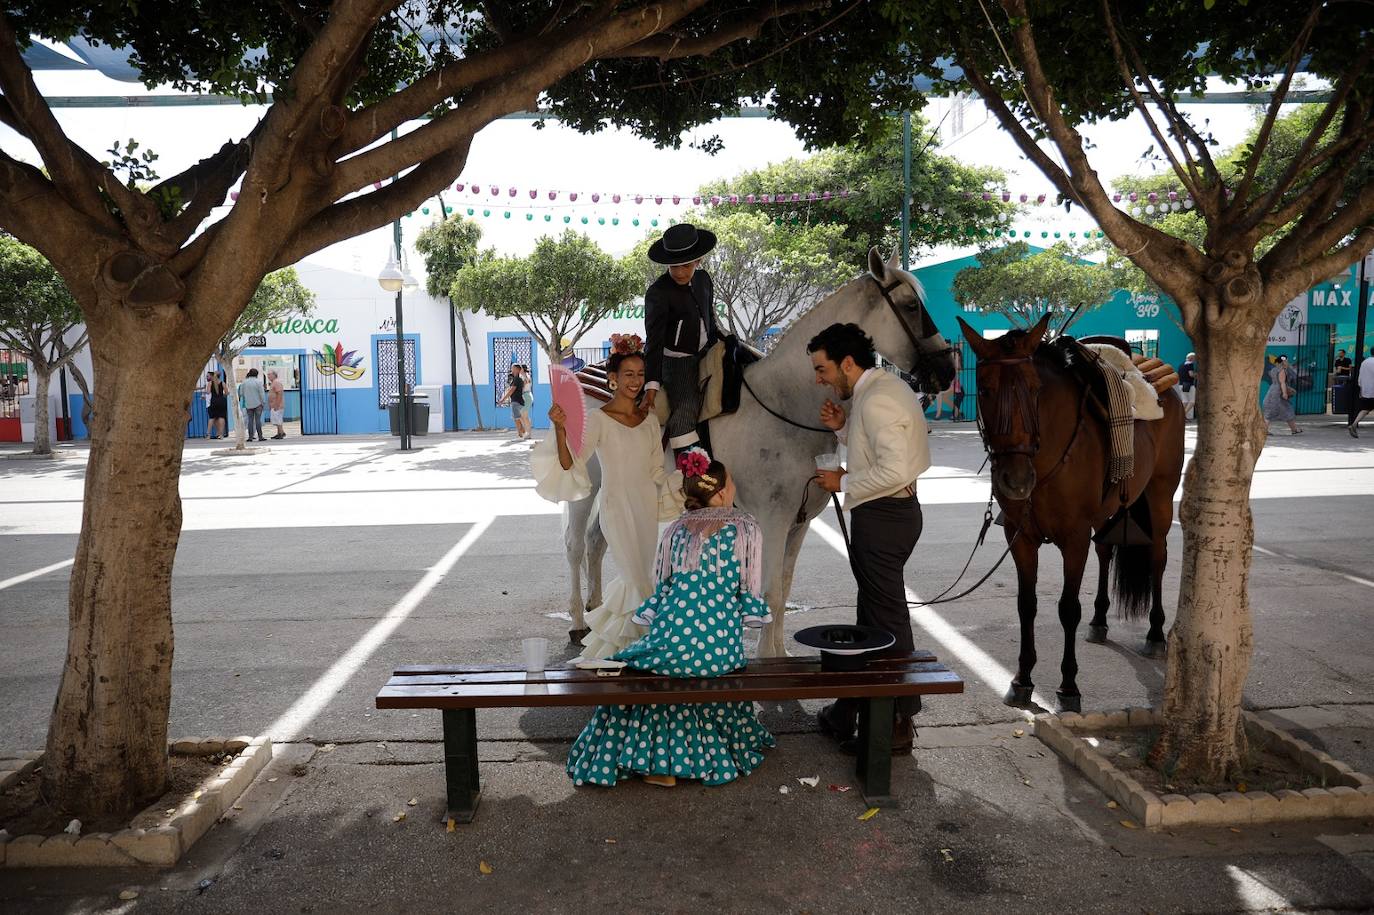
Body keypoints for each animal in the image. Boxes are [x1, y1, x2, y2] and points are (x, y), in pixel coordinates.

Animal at [557, 250, 956, 656]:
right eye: (910, 305)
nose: (946, 369)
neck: (786, 403)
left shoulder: (799, 522)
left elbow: (784, 588)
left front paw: (780, 654)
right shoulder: (774, 519)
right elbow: (771, 592)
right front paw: (768, 658)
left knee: (596, 543)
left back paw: (595, 613)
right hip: (589, 485)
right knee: (575, 545)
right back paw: (576, 623)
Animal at [961, 313, 1187, 714]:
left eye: (1035, 389)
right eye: (984, 390)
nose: (1016, 480)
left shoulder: (1074, 539)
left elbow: (1067, 608)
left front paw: (1068, 688)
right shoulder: (1020, 537)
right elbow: (1026, 605)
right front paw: (1022, 680)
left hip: (1160, 496)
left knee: (1157, 557)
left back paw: (1156, 634)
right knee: (1106, 550)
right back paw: (1099, 620)